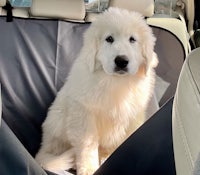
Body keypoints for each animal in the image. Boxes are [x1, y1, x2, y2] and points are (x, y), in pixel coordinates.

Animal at [35, 7, 158, 175]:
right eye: (109, 39)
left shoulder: (132, 117)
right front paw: (88, 168)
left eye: (132, 39)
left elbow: (120, 142)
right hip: (58, 119)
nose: (121, 61)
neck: (115, 82)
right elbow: (88, 144)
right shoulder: (84, 114)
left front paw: (107, 158)